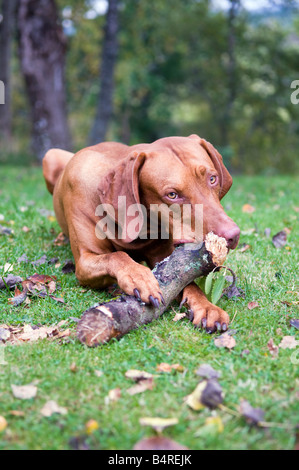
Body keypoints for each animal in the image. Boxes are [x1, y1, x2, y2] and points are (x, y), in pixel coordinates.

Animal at [43, 135, 241, 334]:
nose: (232, 235)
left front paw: (207, 307)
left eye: (213, 179)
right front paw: (139, 277)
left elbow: (185, 281)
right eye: (172, 195)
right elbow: (116, 256)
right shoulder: (84, 262)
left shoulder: (163, 257)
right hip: (50, 155)